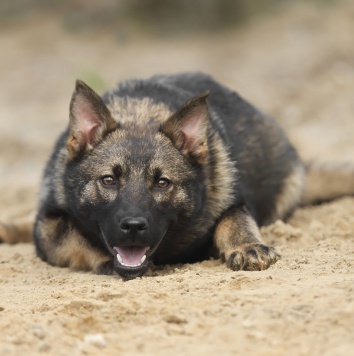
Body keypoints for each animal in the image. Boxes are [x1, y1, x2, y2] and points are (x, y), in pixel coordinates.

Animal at [1, 72, 352, 278]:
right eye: (108, 180)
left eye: (162, 183)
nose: (133, 226)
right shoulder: (48, 224)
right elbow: (68, 235)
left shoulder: (234, 203)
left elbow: (234, 220)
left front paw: (247, 246)